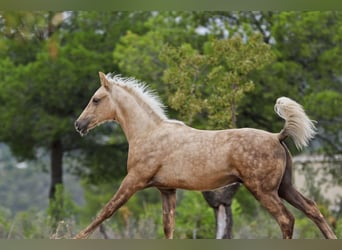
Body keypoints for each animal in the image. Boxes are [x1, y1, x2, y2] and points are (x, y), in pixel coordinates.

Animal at [75, 72, 336, 238]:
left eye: (96, 99)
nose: (79, 125)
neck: (149, 133)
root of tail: (277, 136)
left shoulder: (133, 181)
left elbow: (105, 212)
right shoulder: (166, 190)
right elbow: (168, 227)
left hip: (264, 190)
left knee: (286, 219)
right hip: (284, 187)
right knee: (312, 209)